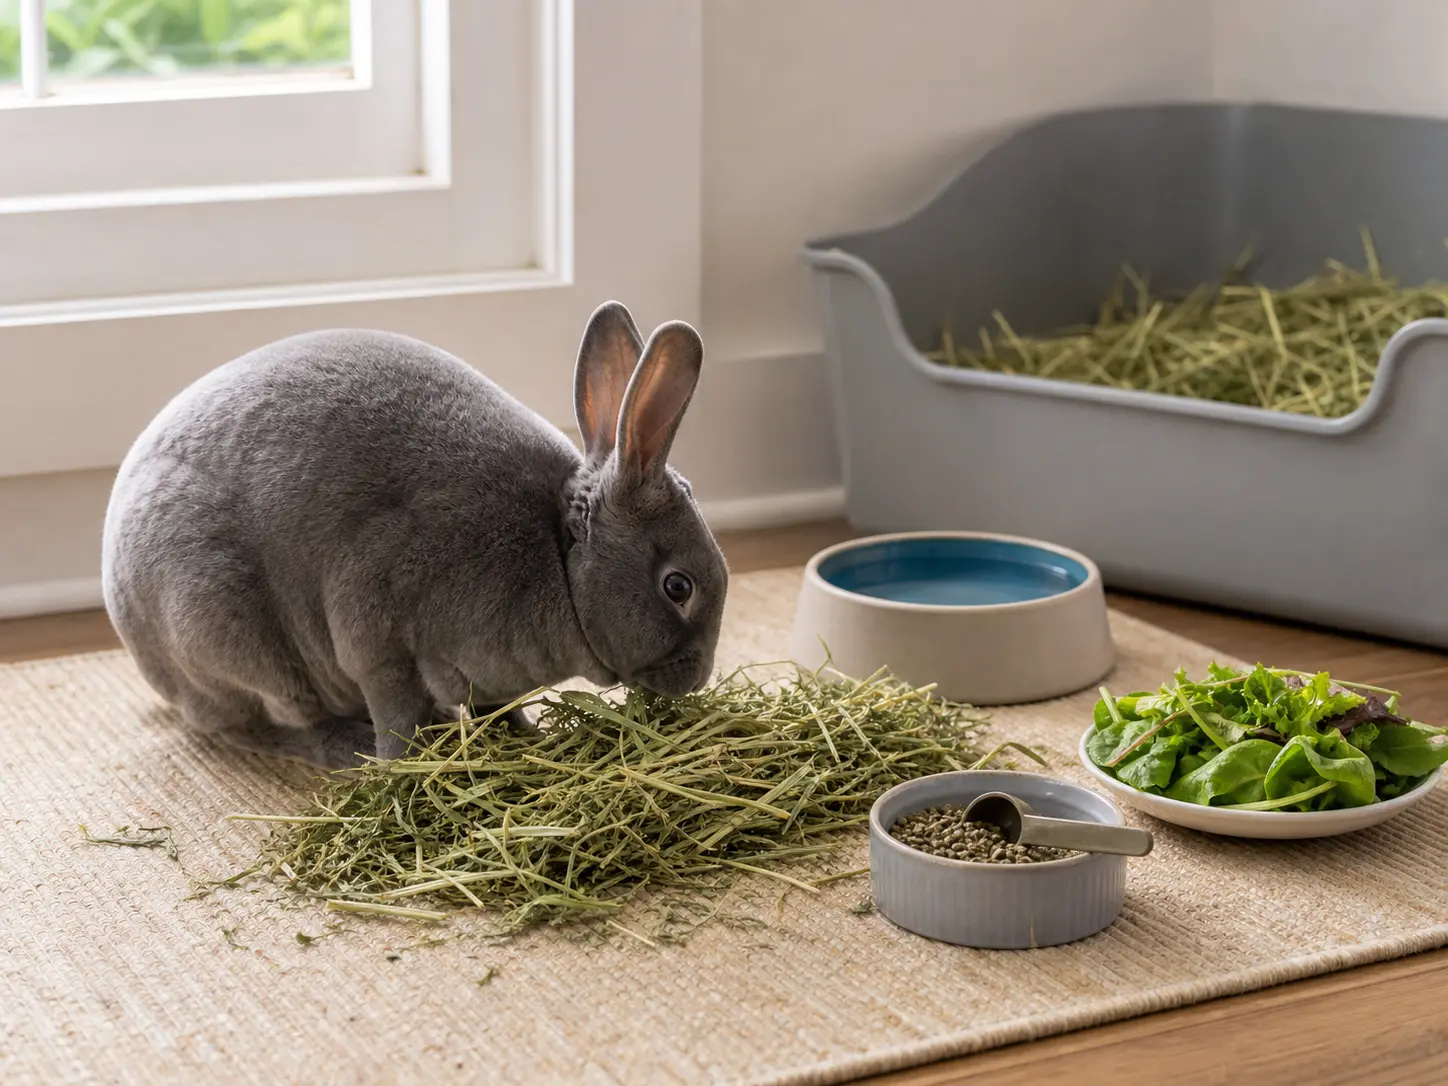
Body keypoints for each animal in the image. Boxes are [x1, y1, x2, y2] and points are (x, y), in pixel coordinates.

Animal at [101, 301, 729, 770]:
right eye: (678, 587)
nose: (696, 679)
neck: (559, 560)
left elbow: (500, 708)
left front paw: (528, 739)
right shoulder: (377, 641)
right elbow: (395, 714)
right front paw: (399, 765)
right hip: (228, 633)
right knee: (269, 722)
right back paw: (346, 747)